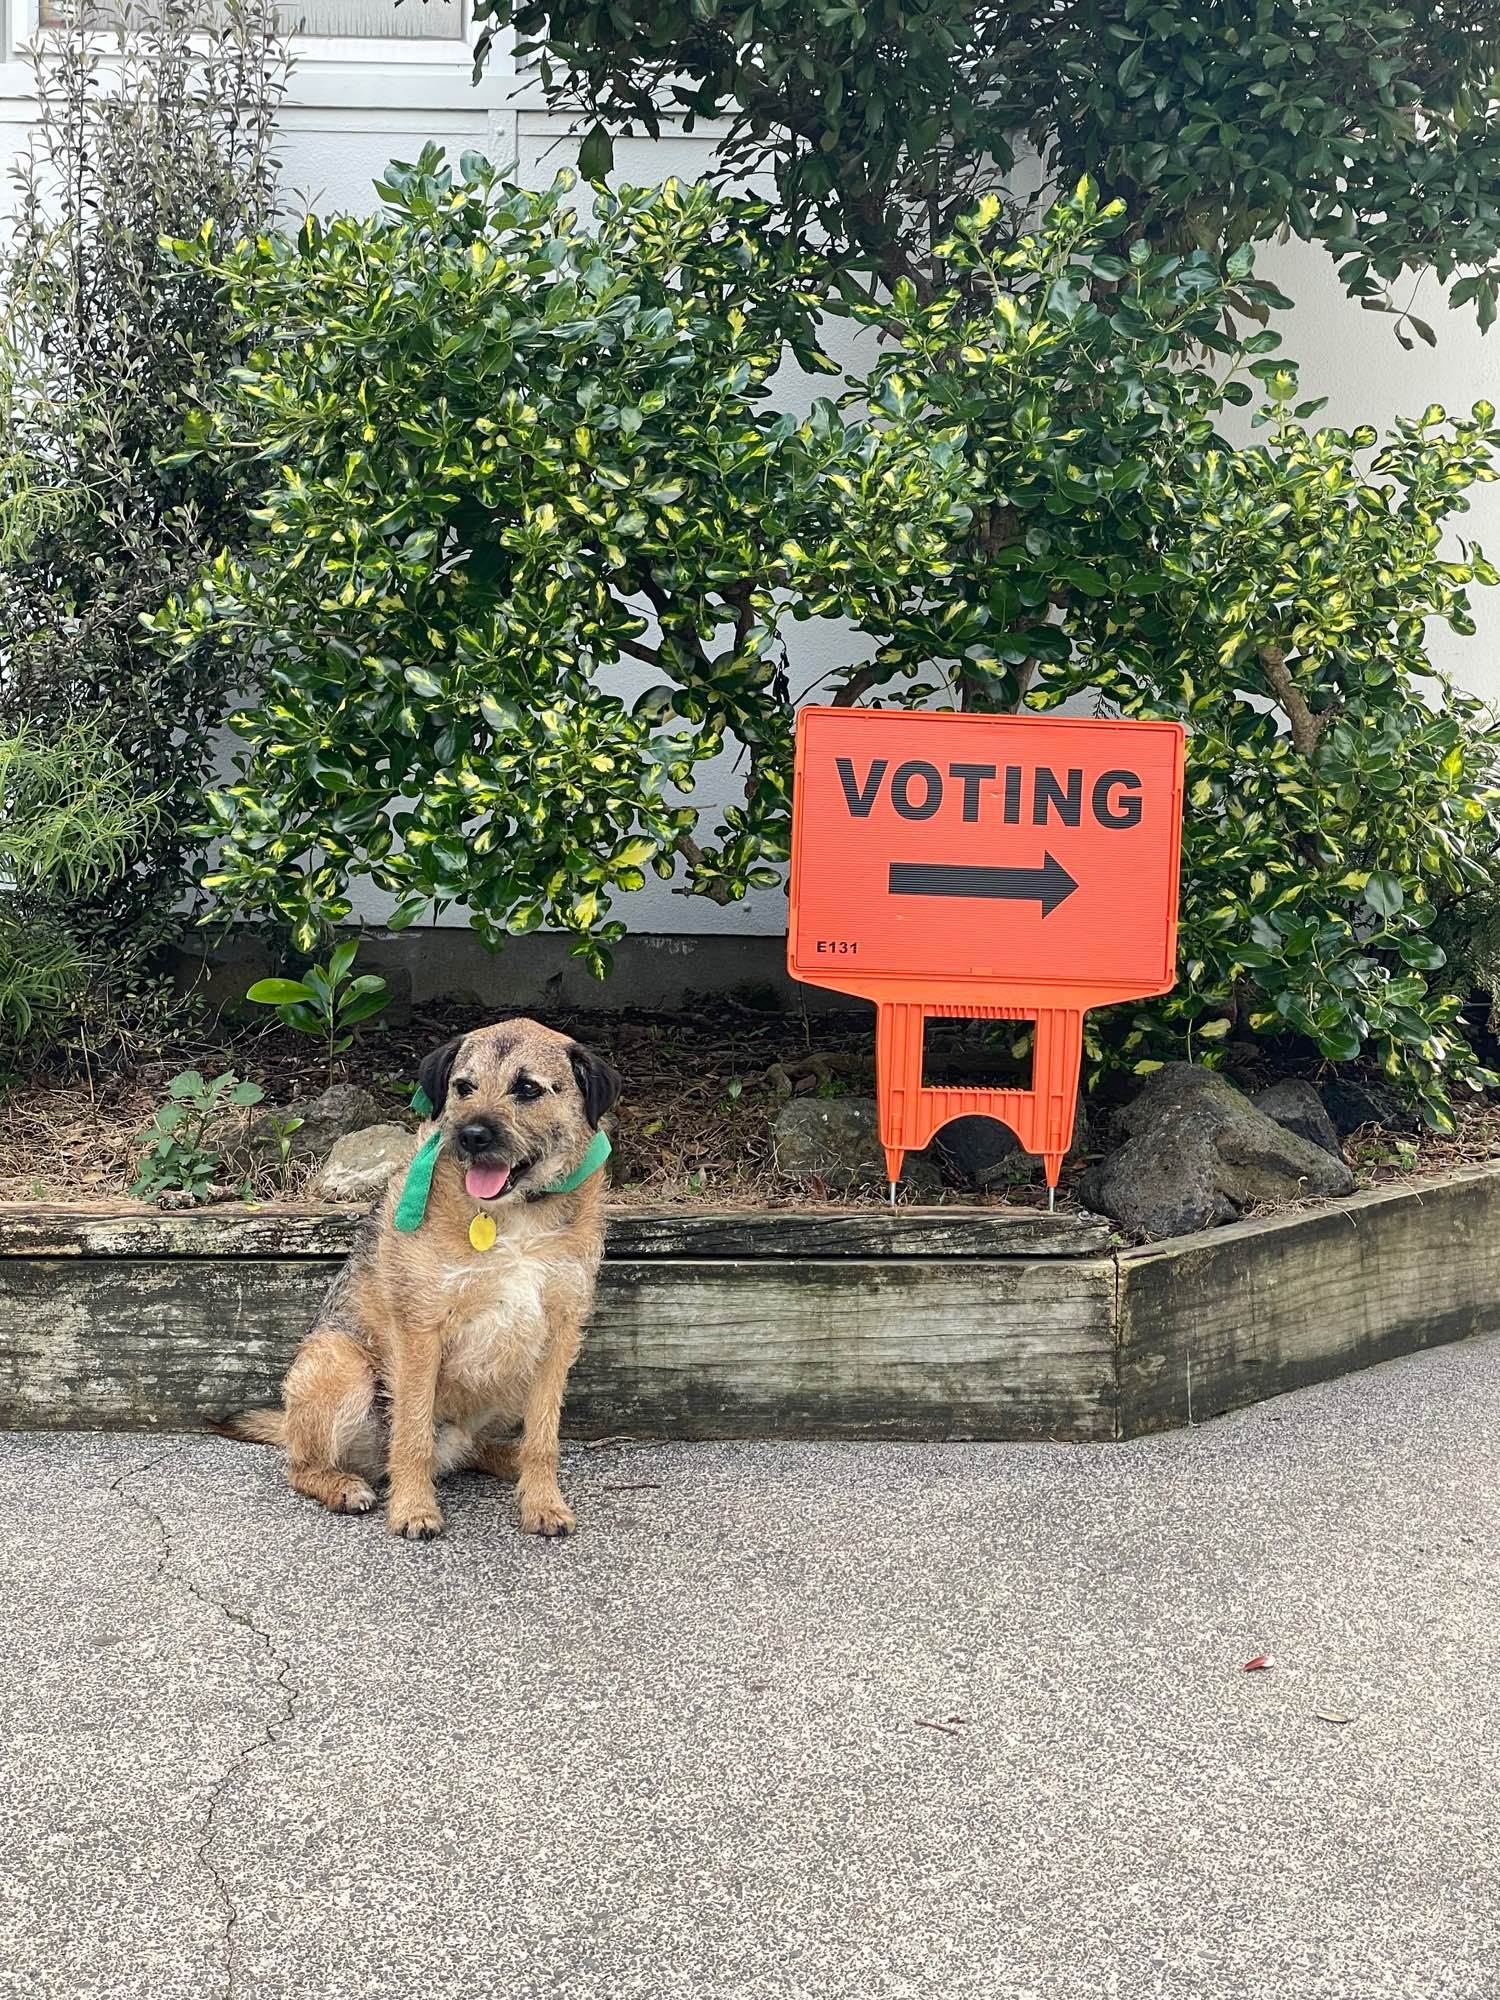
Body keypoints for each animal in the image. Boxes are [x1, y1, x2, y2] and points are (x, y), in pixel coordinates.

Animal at [225, 1024, 624, 1536]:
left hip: (510, 1376)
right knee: (303, 1466)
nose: (471, 1136)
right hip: (339, 1363)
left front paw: (542, 1502)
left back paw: (507, 1459)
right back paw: (342, 1485)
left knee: (475, 1449)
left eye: (527, 1088)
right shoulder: (421, 1330)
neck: (514, 1216)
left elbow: (543, 1438)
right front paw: (414, 1508)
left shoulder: (558, 1334)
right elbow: (412, 1431)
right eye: (464, 1087)